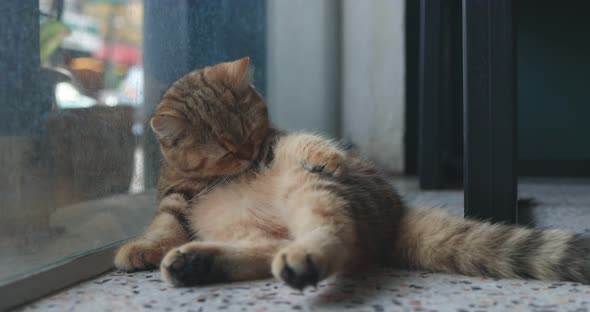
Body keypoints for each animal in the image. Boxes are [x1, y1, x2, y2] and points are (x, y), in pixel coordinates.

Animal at [113, 56, 588, 290]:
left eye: (252, 132)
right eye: (227, 150)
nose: (250, 159)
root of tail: (396, 213)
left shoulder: (279, 143)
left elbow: (306, 141)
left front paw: (330, 154)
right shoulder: (177, 199)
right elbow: (163, 227)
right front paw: (143, 248)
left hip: (313, 190)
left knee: (333, 235)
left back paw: (299, 260)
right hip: (256, 226)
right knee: (275, 248)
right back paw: (198, 263)